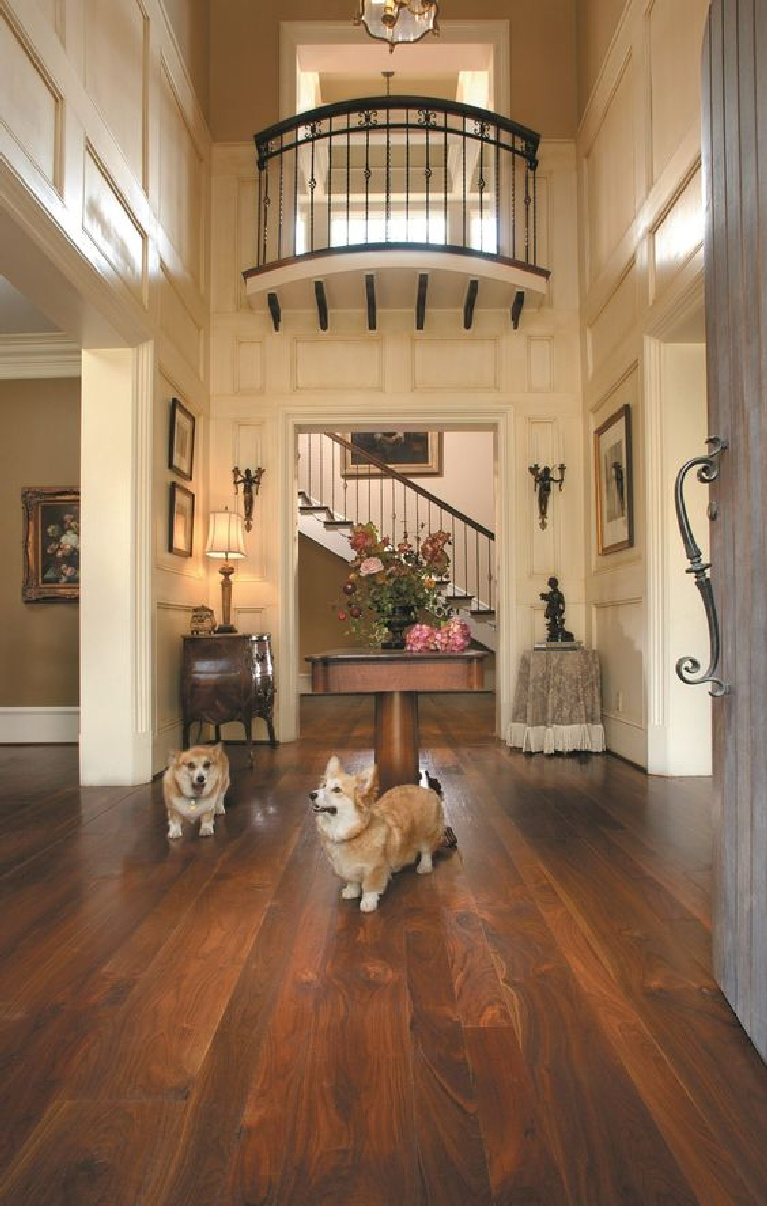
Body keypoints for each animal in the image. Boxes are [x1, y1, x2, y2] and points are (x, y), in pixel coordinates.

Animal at [311, 752, 443, 911]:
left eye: (337, 789)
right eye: (323, 786)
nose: (311, 794)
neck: (350, 832)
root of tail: (427, 790)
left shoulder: (374, 869)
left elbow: (370, 887)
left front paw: (368, 903)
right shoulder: (347, 869)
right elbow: (352, 881)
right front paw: (351, 891)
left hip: (427, 833)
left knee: (426, 851)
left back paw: (424, 866)